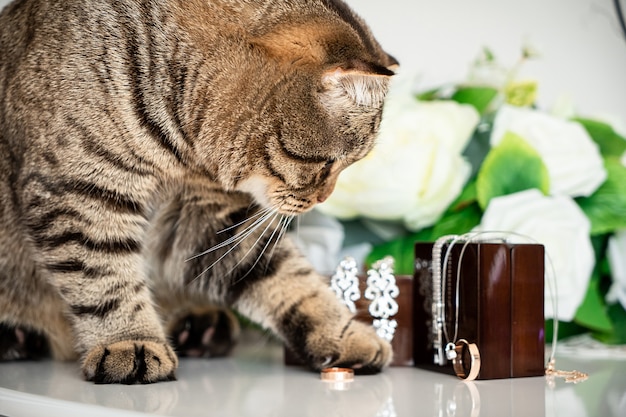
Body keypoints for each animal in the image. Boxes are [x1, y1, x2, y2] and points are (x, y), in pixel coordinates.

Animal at [1, 0, 394, 384]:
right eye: (330, 164)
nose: (322, 199)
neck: (182, 155)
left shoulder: (210, 221)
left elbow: (289, 279)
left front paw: (344, 335)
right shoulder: (80, 195)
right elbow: (105, 279)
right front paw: (130, 341)